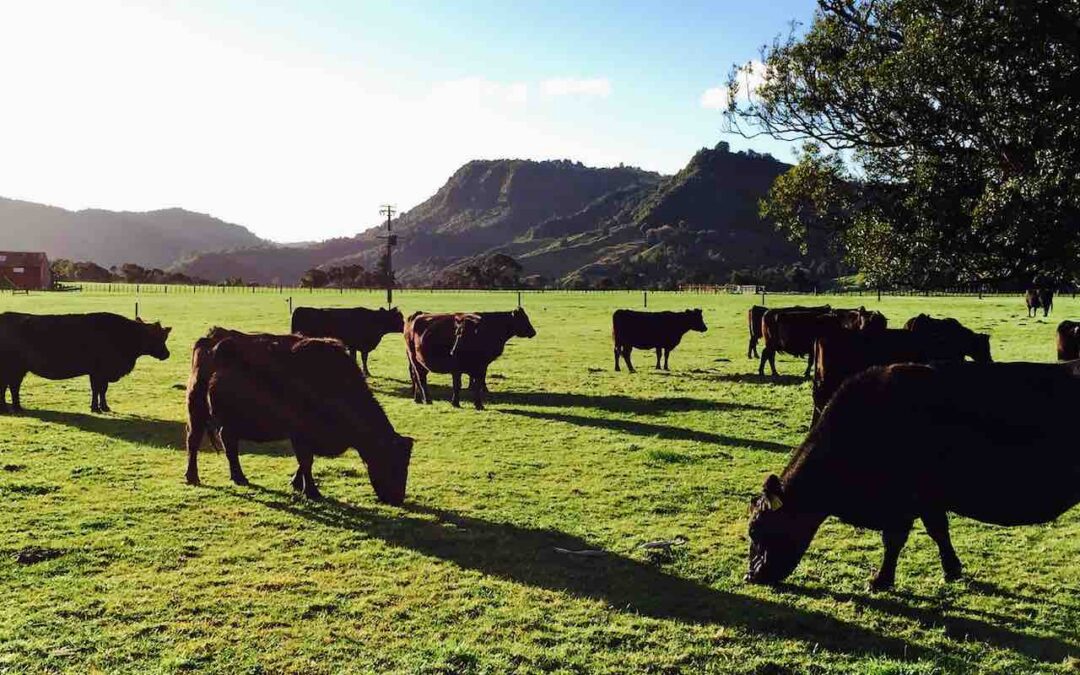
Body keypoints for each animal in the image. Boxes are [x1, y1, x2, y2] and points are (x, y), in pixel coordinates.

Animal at [0, 312, 171, 414]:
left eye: (164, 336)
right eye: (159, 337)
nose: (167, 354)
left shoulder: (101, 373)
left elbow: (102, 390)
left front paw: (104, 407)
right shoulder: (98, 371)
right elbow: (97, 389)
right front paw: (96, 408)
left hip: (18, 369)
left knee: (13, 386)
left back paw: (17, 407)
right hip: (10, 367)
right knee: (6, 386)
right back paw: (6, 408)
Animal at [189, 332, 413, 504]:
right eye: (392, 462)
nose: (397, 499)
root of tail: (210, 340)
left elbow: (305, 462)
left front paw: (296, 483)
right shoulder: (300, 433)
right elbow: (306, 461)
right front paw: (312, 491)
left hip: (230, 421)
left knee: (229, 442)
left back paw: (239, 477)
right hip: (196, 410)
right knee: (194, 441)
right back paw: (192, 477)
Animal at [405, 308, 536, 410]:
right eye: (523, 319)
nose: (533, 332)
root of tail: (418, 314)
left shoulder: (481, 367)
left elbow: (476, 384)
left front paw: (478, 404)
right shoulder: (458, 368)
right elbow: (458, 385)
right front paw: (456, 403)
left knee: (416, 378)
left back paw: (418, 399)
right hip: (415, 360)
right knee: (420, 379)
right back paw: (427, 399)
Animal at [746, 361, 1080, 590]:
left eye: (757, 529)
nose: (751, 575)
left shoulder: (902, 502)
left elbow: (894, 540)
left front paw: (880, 580)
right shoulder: (928, 500)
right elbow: (938, 531)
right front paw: (952, 569)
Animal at [758, 307, 886, 378]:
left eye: (882, 324)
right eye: (866, 323)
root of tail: (767, 312)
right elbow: (811, 362)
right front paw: (807, 373)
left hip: (772, 345)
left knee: (768, 356)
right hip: (770, 344)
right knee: (767, 355)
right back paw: (768, 372)